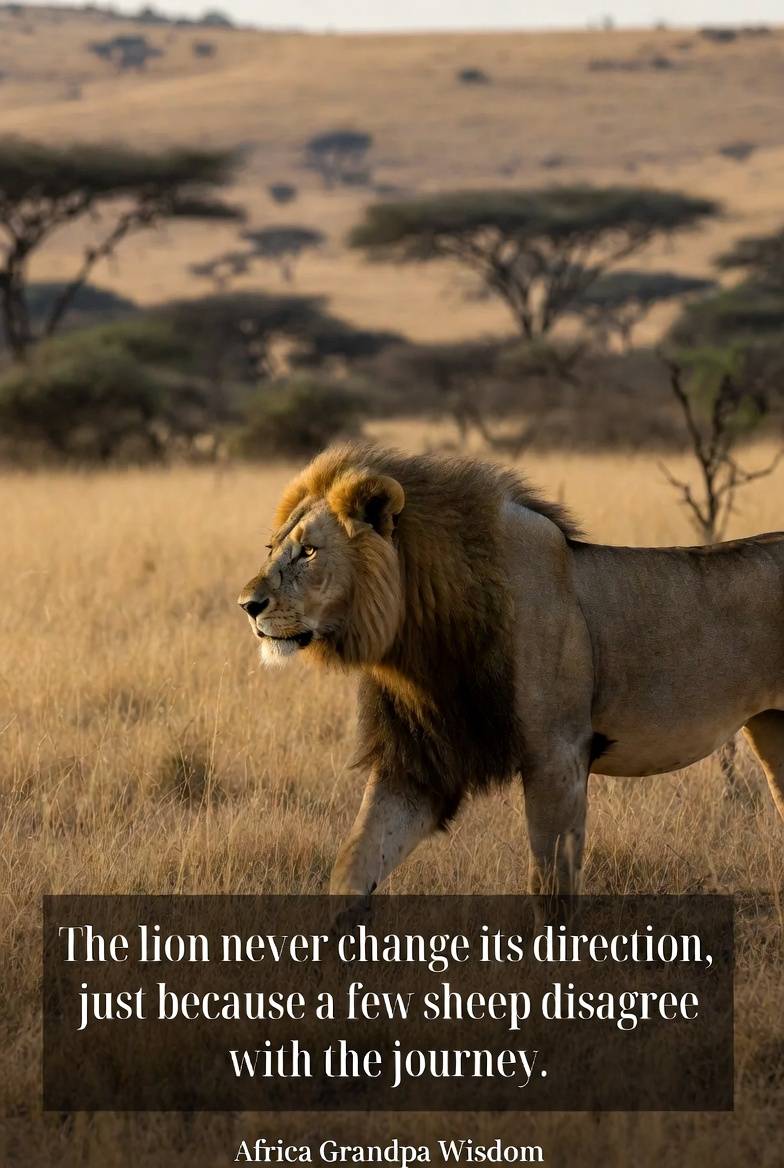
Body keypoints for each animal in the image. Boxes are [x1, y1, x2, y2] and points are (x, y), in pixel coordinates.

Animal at [238, 442, 784, 898]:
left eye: (309, 551)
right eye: (271, 549)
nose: (247, 604)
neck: (420, 637)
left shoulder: (559, 756)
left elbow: (550, 889)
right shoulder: (415, 764)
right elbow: (353, 865)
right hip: (771, 731)